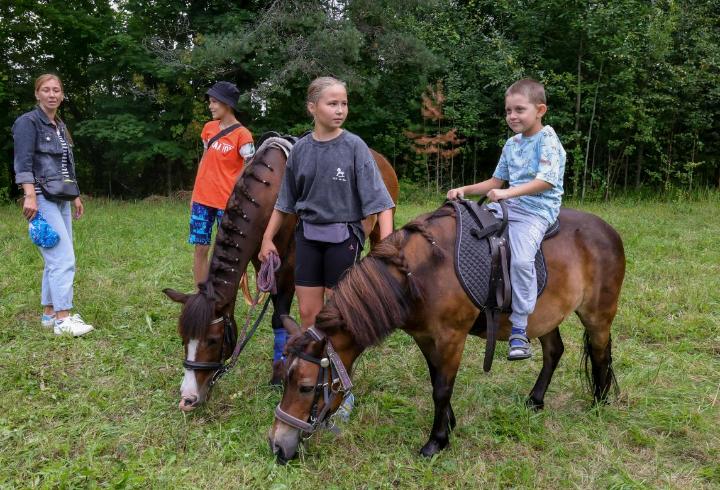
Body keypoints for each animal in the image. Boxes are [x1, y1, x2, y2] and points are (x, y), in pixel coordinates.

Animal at [162, 135, 400, 414]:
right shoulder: (263, 263)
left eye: (212, 340)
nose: (188, 398)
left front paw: (278, 374)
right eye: (183, 339)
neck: (269, 194)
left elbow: (278, 318)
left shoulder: (290, 267)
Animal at [270, 201, 624, 462]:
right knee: (554, 351)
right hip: (543, 315)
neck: (417, 277)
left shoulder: (452, 338)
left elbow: (441, 388)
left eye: (305, 387)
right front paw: (449, 426)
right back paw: (535, 401)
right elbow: (436, 381)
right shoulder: (426, 338)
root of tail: (608, 230)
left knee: (601, 354)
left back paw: (599, 402)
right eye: (283, 378)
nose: (276, 445)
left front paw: (436, 441)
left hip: (597, 316)